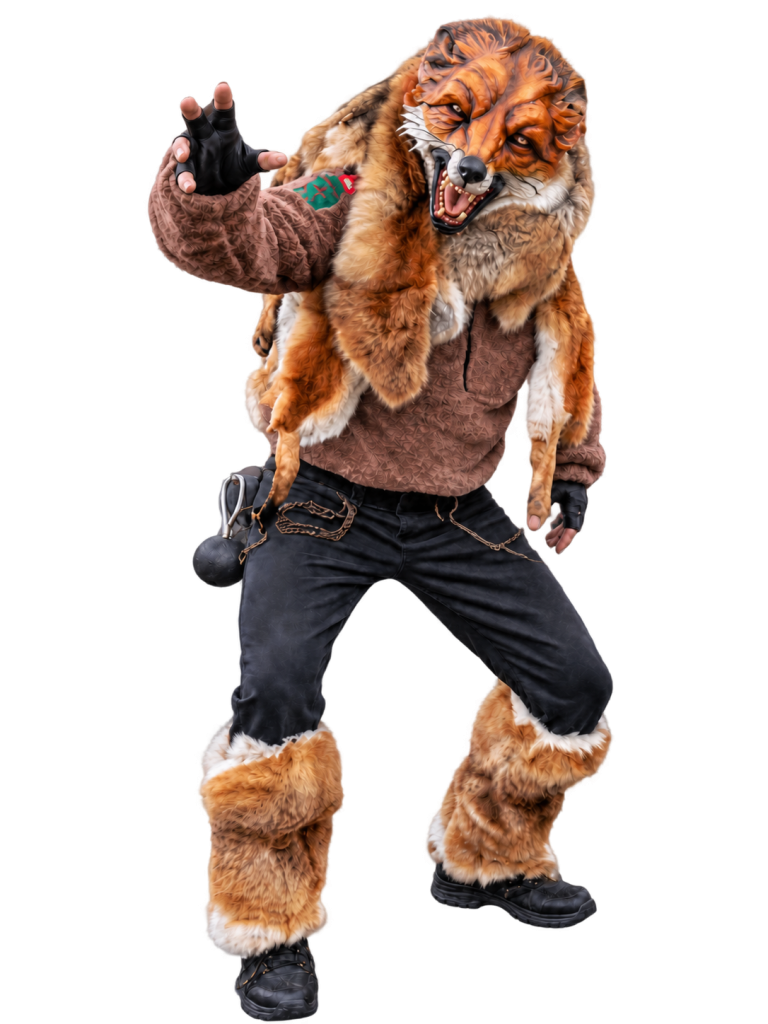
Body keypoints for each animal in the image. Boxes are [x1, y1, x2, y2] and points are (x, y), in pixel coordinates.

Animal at [244, 15, 598, 529]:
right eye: (455, 111)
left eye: (520, 141)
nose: (470, 169)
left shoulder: (554, 281)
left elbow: (556, 409)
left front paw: (558, 494)